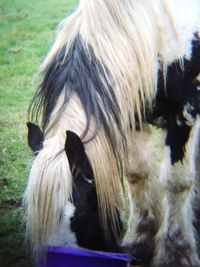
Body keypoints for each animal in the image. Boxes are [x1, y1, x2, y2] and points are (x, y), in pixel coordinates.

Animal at [23, 1, 200, 266]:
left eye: (78, 214)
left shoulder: (183, 111)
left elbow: (176, 182)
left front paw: (176, 254)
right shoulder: (130, 114)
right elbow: (138, 173)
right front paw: (140, 241)